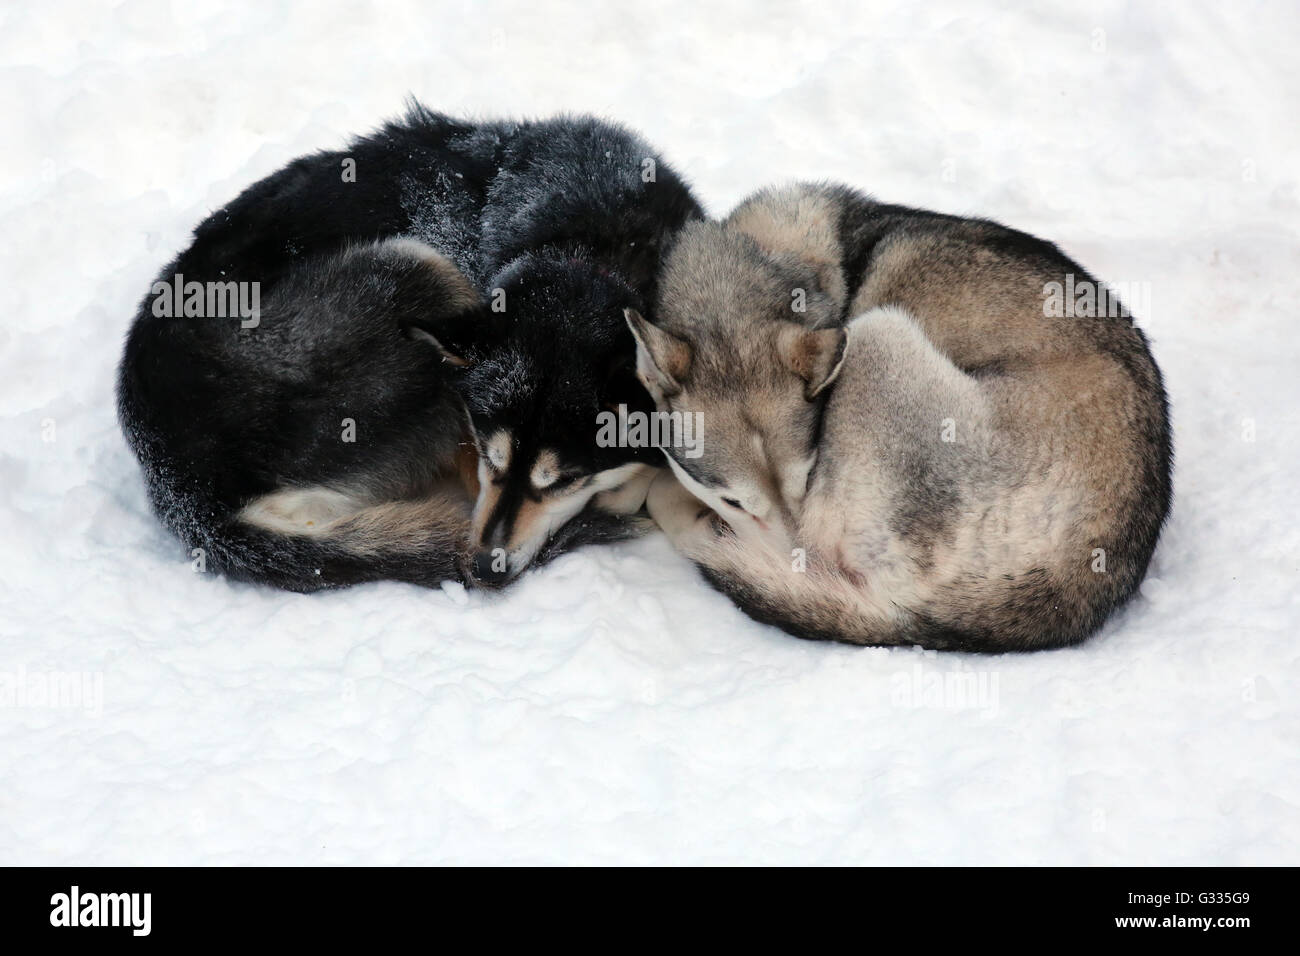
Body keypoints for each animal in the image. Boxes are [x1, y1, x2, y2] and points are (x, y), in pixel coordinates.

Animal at [118, 108, 707, 595]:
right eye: (491, 457)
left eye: (564, 480)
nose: (483, 571)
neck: (592, 246)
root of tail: (184, 485)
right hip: (417, 266)